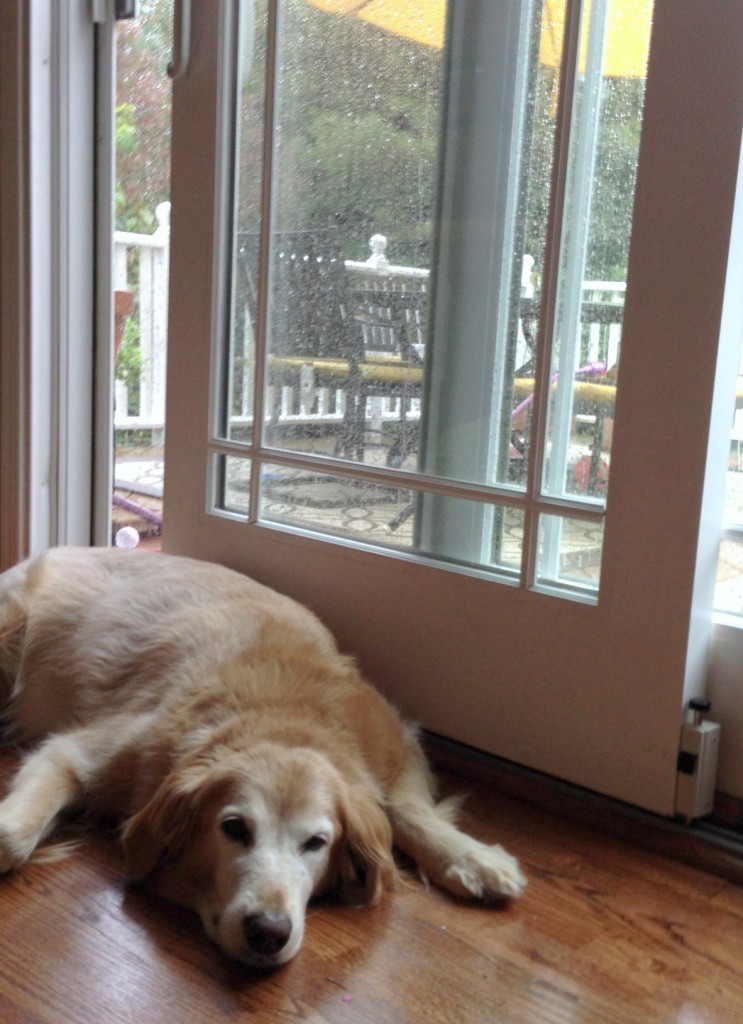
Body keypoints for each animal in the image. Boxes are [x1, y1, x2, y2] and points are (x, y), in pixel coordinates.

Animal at [0, 548, 528, 962]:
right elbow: (13, 834)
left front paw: (471, 857)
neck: (278, 716)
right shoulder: (82, 750)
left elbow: (404, 807)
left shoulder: (397, 740)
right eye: (234, 829)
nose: (268, 933)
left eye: (317, 842)